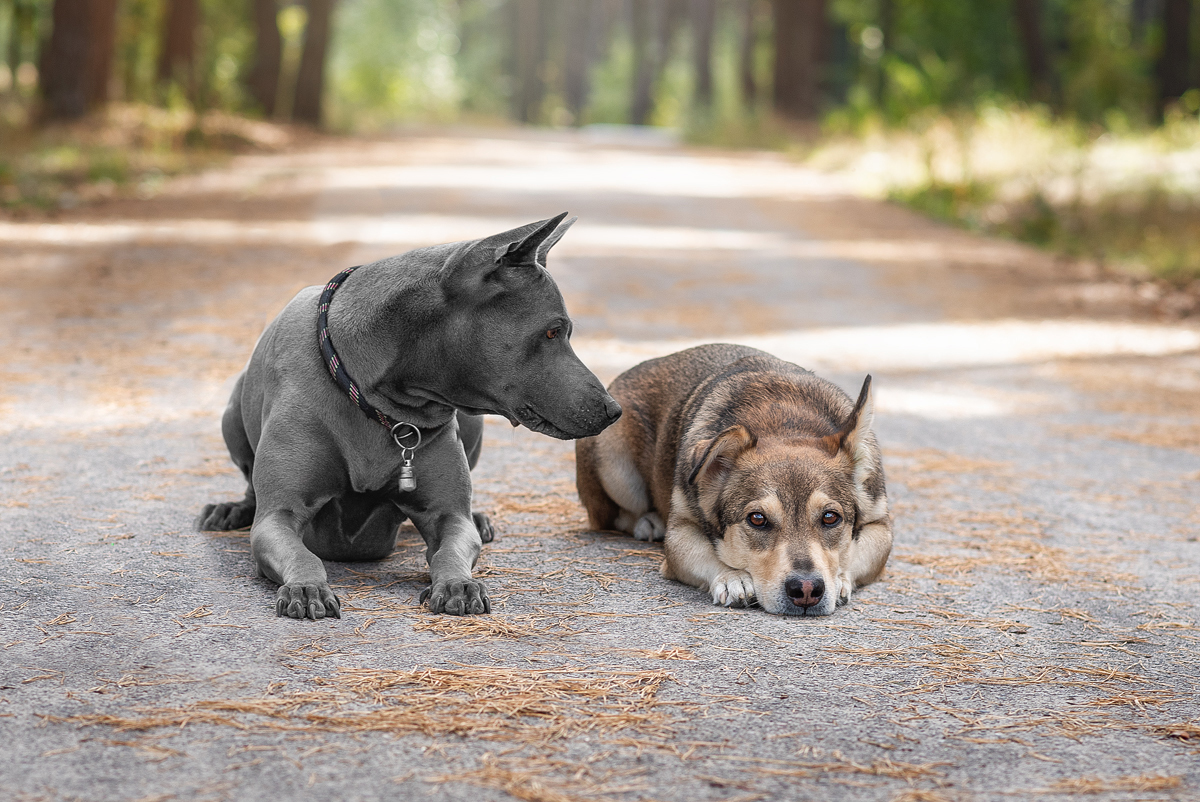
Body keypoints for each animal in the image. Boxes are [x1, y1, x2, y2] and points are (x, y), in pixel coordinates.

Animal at [199, 214, 619, 619]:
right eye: (552, 332)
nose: (614, 410)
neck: (382, 402)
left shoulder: (448, 517)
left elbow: (451, 548)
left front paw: (457, 584)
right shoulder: (278, 517)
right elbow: (302, 553)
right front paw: (306, 587)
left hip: (472, 424)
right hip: (231, 413)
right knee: (249, 482)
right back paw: (230, 509)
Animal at [576, 343, 897, 614]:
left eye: (830, 517)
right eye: (757, 519)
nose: (806, 589)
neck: (784, 419)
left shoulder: (880, 526)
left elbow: (855, 555)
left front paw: (840, 578)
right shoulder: (679, 534)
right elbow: (707, 553)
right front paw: (733, 577)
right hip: (615, 466)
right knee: (613, 516)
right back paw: (649, 522)